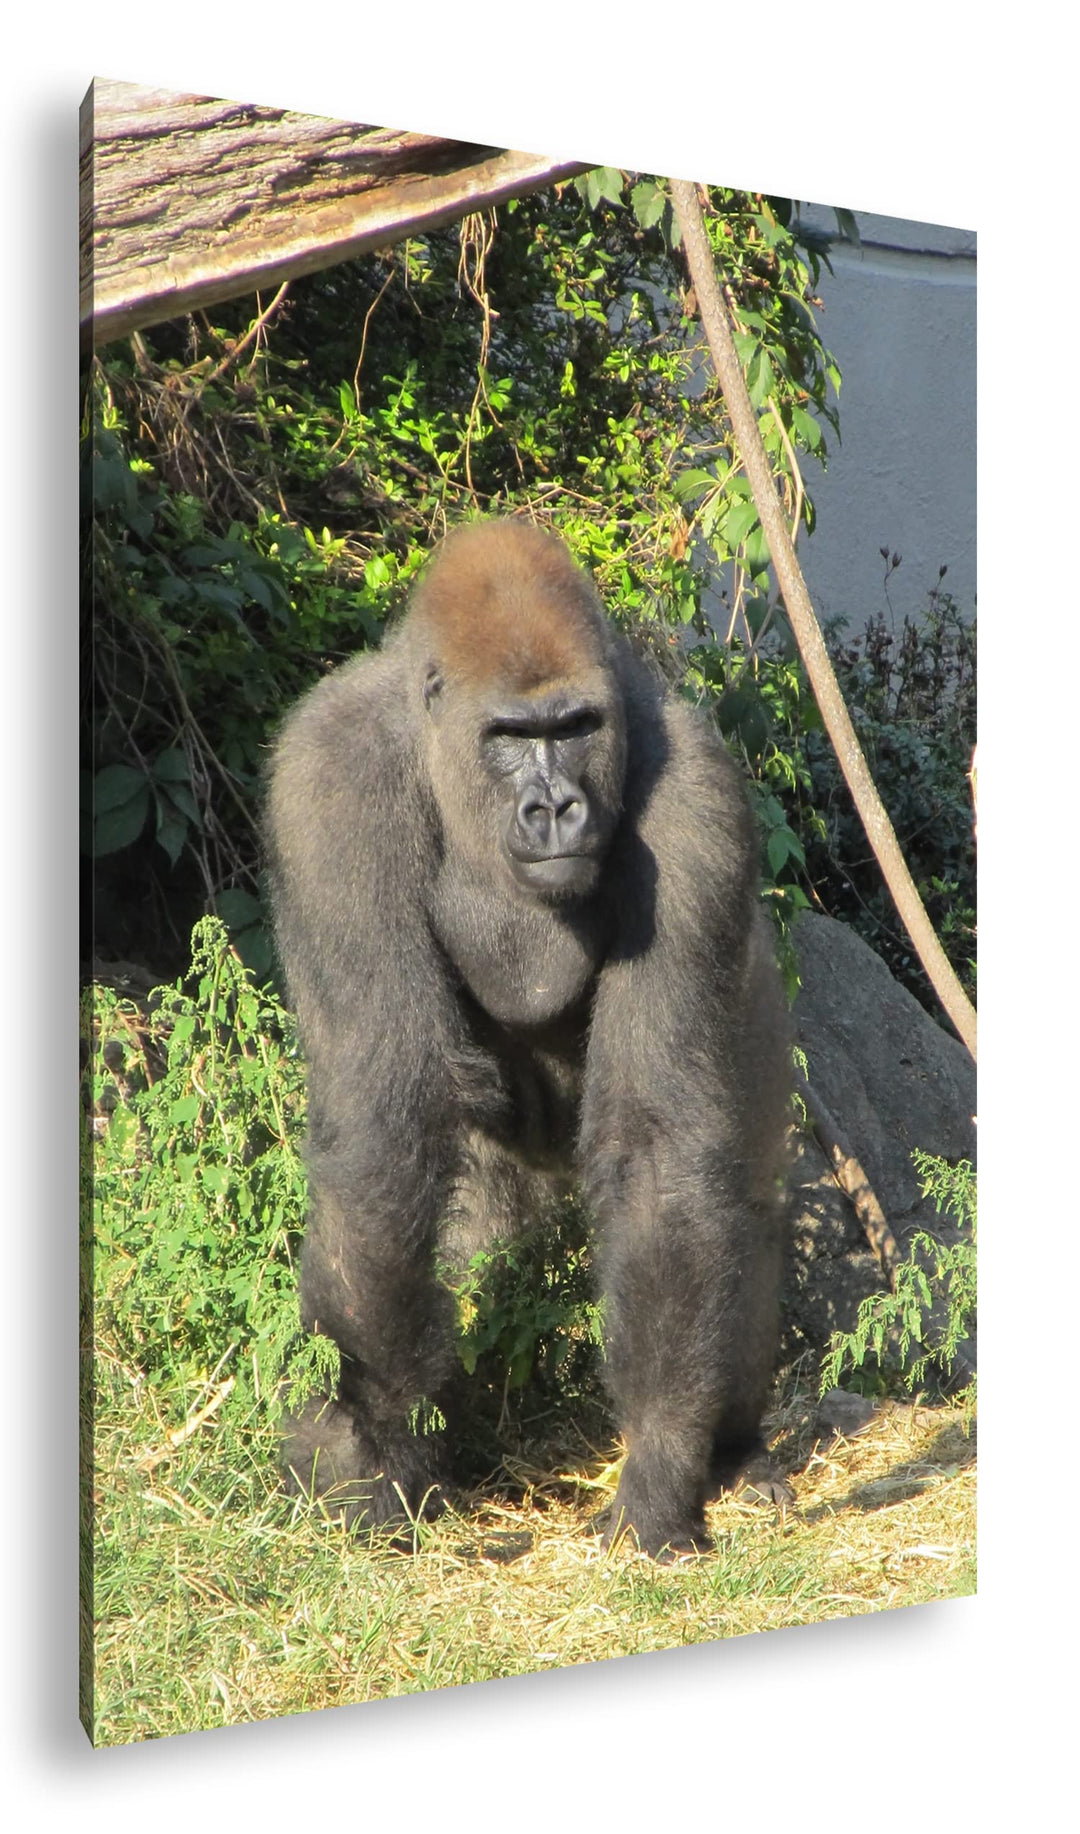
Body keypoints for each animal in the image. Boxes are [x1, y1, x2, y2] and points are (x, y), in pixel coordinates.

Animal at [266, 517, 791, 1558]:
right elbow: (385, 1130)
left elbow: (658, 1151)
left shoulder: (699, 800)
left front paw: (662, 1465)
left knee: (734, 1199)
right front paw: (370, 1443)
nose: (555, 808)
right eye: (510, 738)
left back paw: (735, 1451)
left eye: (576, 728)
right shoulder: (330, 780)